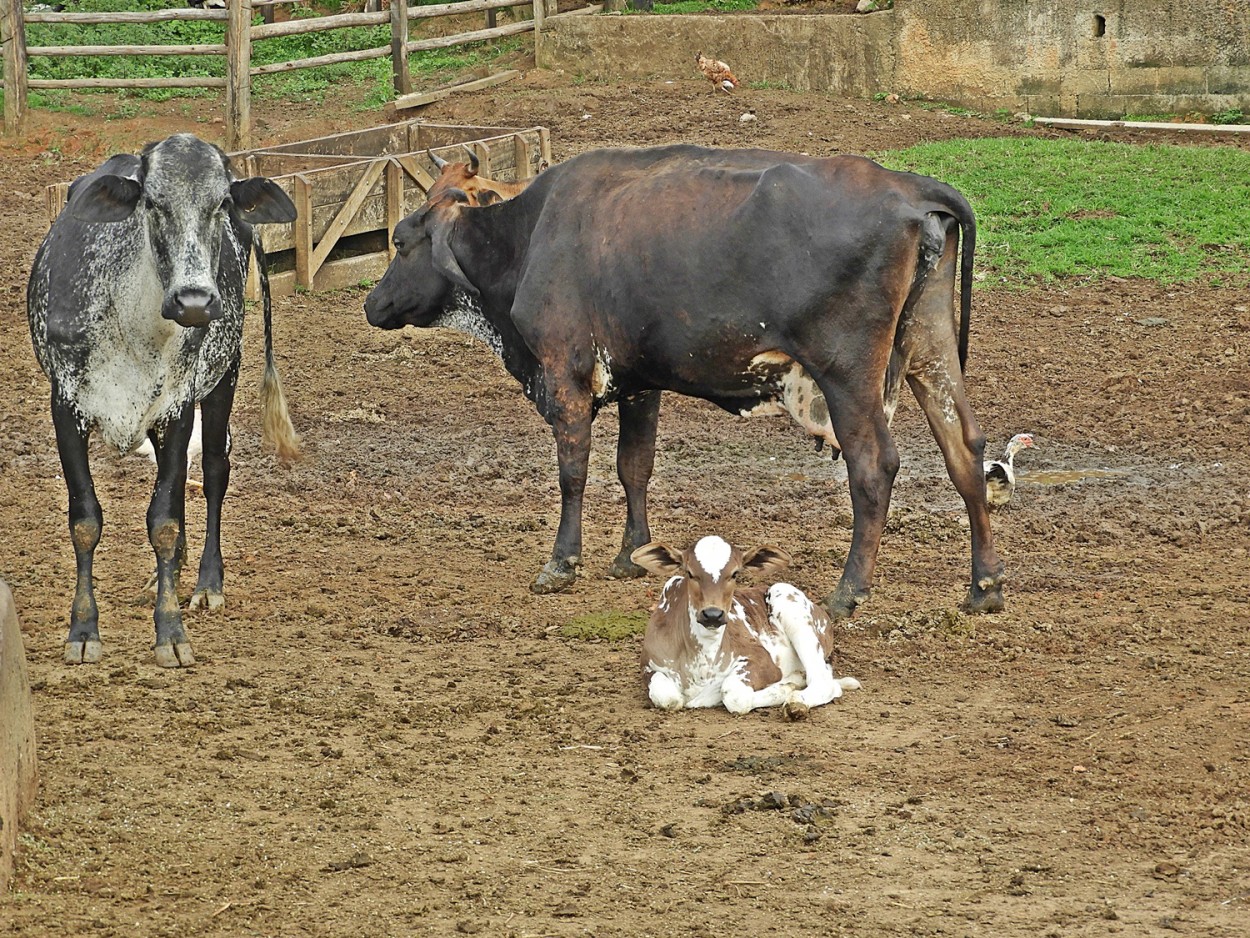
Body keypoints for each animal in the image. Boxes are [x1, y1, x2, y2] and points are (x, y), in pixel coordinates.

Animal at [365, 145, 1005, 617]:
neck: (527, 237)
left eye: (401, 239)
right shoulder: (640, 380)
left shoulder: (565, 374)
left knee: (874, 467)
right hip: (929, 348)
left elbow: (573, 473)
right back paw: (985, 586)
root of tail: (908, 186)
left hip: (848, 373)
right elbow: (634, 466)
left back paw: (849, 591)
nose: (372, 304)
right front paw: (633, 554)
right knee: (965, 450)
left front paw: (562, 562)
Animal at [635, 540, 860, 715]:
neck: (701, 658)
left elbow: (735, 697)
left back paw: (796, 698)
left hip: (788, 601)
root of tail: (821, 610)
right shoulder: (650, 666)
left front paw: (785, 689)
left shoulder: (763, 660)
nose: (713, 614)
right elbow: (668, 698)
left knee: (823, 682)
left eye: (735, 573)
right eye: (690, 573)